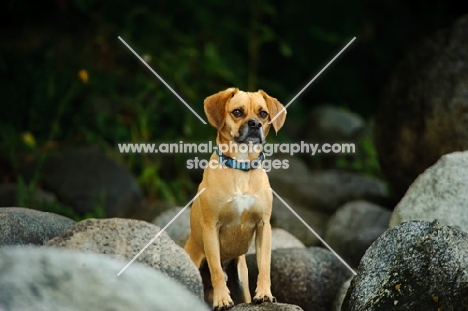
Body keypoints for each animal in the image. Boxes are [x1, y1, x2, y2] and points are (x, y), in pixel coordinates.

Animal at [185, 88, 288, 311]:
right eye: (238, 112)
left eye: (263, 114)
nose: (255, 124)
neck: (241, 166)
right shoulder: (211, 228)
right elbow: (215, 270)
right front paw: (222, 299)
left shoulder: (263, 227)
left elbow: (264, 265)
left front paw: (265, 294)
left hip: (240, 277)